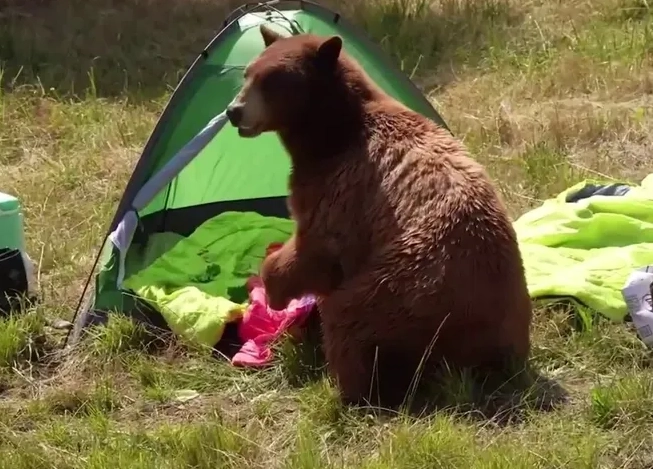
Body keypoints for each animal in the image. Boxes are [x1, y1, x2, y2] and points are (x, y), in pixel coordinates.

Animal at [225, 24, 533, 409]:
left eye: (272, 80)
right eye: (248, 73)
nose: (234, 111)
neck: (331, 135)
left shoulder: (341, 189)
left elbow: (315, 250)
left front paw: (274, 286)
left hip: (401, 291)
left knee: (348, 323)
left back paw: (348, 389)